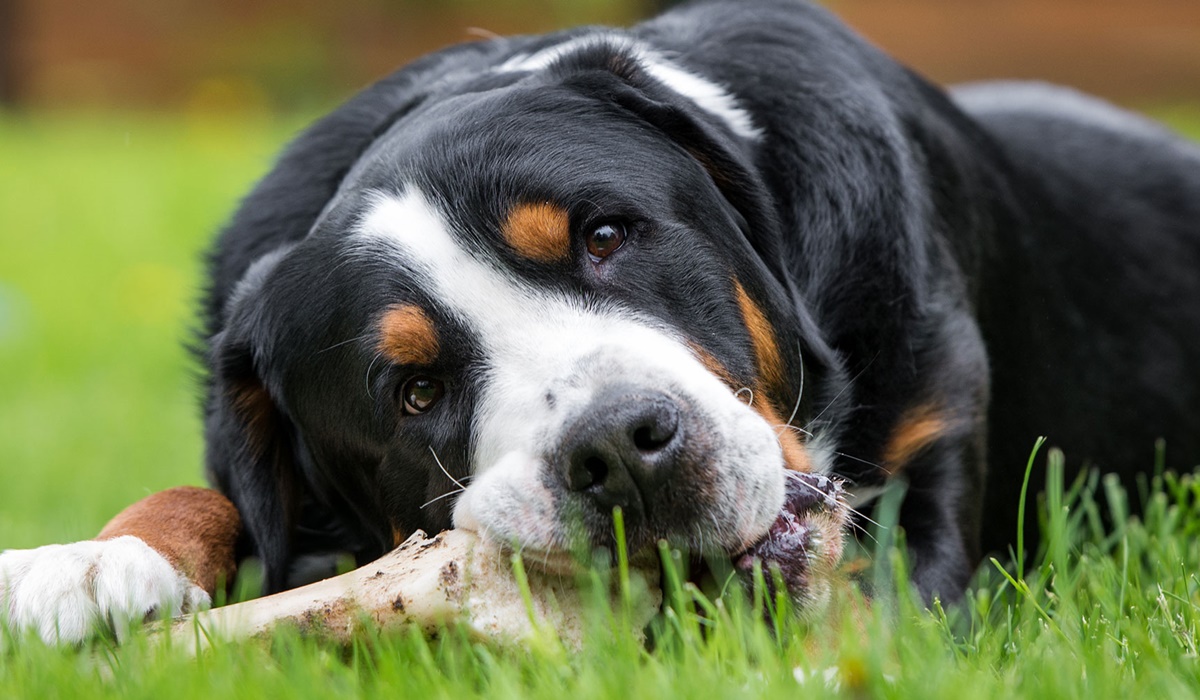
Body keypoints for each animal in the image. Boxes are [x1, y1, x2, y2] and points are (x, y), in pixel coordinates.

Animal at [2, 0, 1200, 648]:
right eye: (417, 391)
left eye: (608, 235)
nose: (620, 446)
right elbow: (202, 492)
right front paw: (93, 562)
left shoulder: (923, 485)